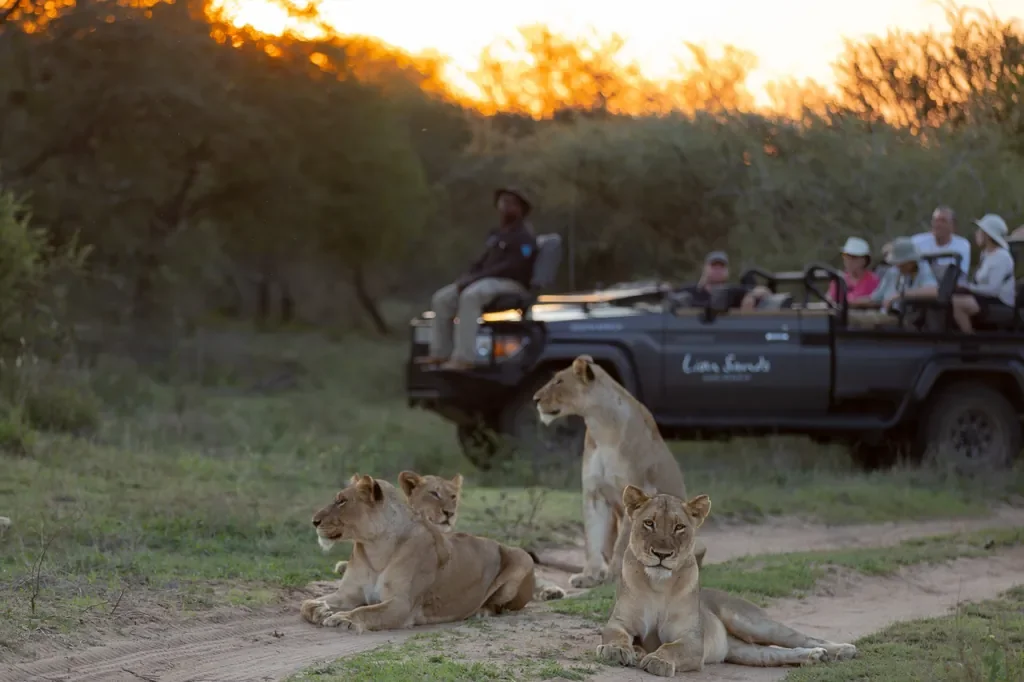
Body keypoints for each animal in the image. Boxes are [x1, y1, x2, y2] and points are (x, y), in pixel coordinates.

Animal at [301, 474, 536, 632]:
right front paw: (321, 609)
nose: (314, 521)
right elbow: (305, 604)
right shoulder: (348, 594)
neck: (374, 547)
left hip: (522, 558)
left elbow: (365, 611)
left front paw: (343, 618)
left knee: (500, 607)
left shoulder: (402, 605)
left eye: (342, 501)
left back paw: (481, 611)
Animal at [533, 355, 706, 588]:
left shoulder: (637, 492)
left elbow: (623, 543)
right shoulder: (594, 493)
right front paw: (589, 576)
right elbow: (592, 540)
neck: (601, 427)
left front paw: (617, 577)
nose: (535, 399)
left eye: (559, 381)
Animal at [596, 486, 857, 676]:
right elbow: (615, 635)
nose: (662, 554)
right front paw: (616, 650)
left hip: (752, 623)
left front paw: (657, 660)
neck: (658, 585)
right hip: (744, 651)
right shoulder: (619, 622)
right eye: (649, 523)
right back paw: (814, 656)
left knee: (802, 637)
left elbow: (671, 647)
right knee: (772, 654)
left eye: (679, 527)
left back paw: (843, 650)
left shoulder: (692, 640)